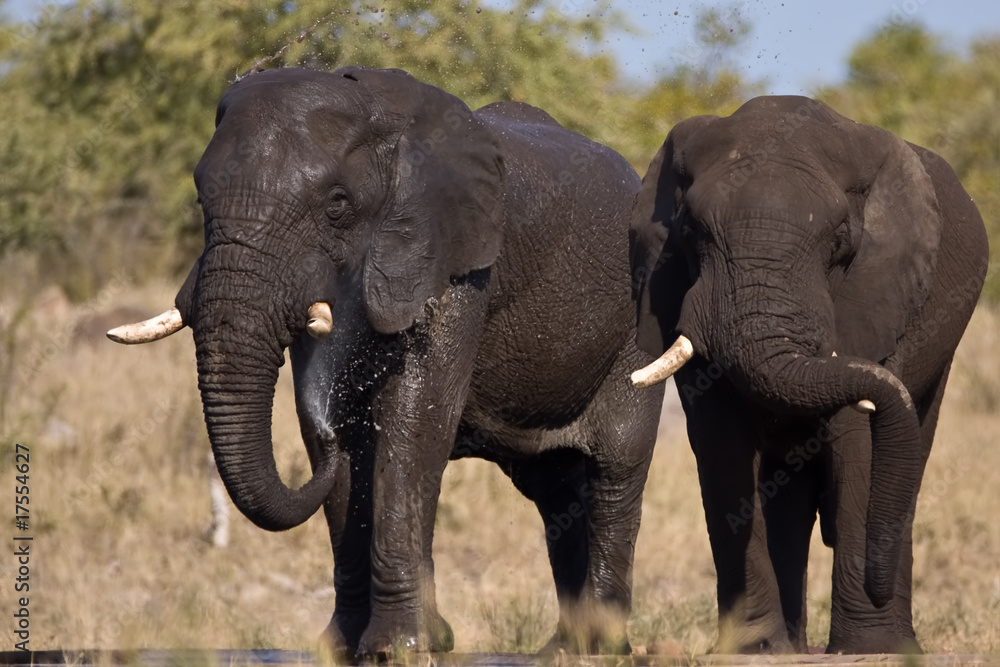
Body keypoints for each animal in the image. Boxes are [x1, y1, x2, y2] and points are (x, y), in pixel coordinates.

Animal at [108, 66, 663, 658]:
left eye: (336, 205)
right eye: (199, 201)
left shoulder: (457, 262)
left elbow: (415, 421)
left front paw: (401, 648)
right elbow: (348, 431)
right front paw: (345, 647)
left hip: (637, 334)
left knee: (615, 471)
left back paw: (601, 647)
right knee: (556, 489)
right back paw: (562, 648)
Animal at [629, 95, 988, 654]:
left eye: (839, 242)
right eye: (690, 233)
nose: (876, 584)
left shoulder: (878, 291)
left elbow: (859, 439)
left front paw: (868, 650)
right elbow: (723, 445)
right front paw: (754, 650)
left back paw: (897, 644)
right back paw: (795, 646)